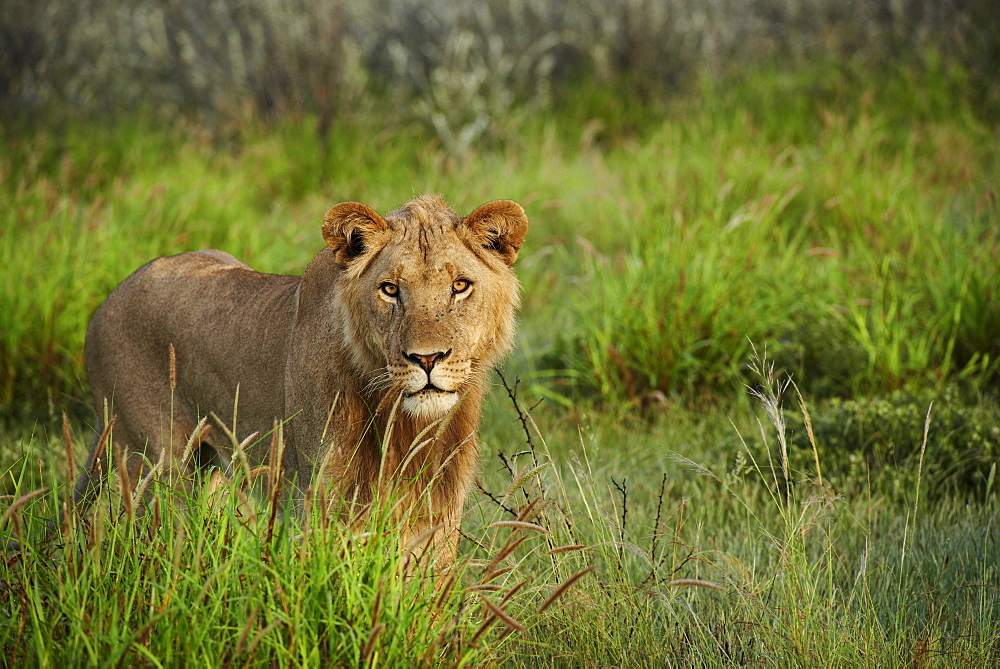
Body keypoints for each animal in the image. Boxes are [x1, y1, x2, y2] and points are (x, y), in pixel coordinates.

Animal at [76, 196, 532, 568]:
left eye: (460, 286)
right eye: (389, 289)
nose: (427, 358)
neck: (403, 424)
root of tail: (107, 301)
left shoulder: (439, 503)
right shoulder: (318, 497)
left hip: (210, 469)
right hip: (159, 467)